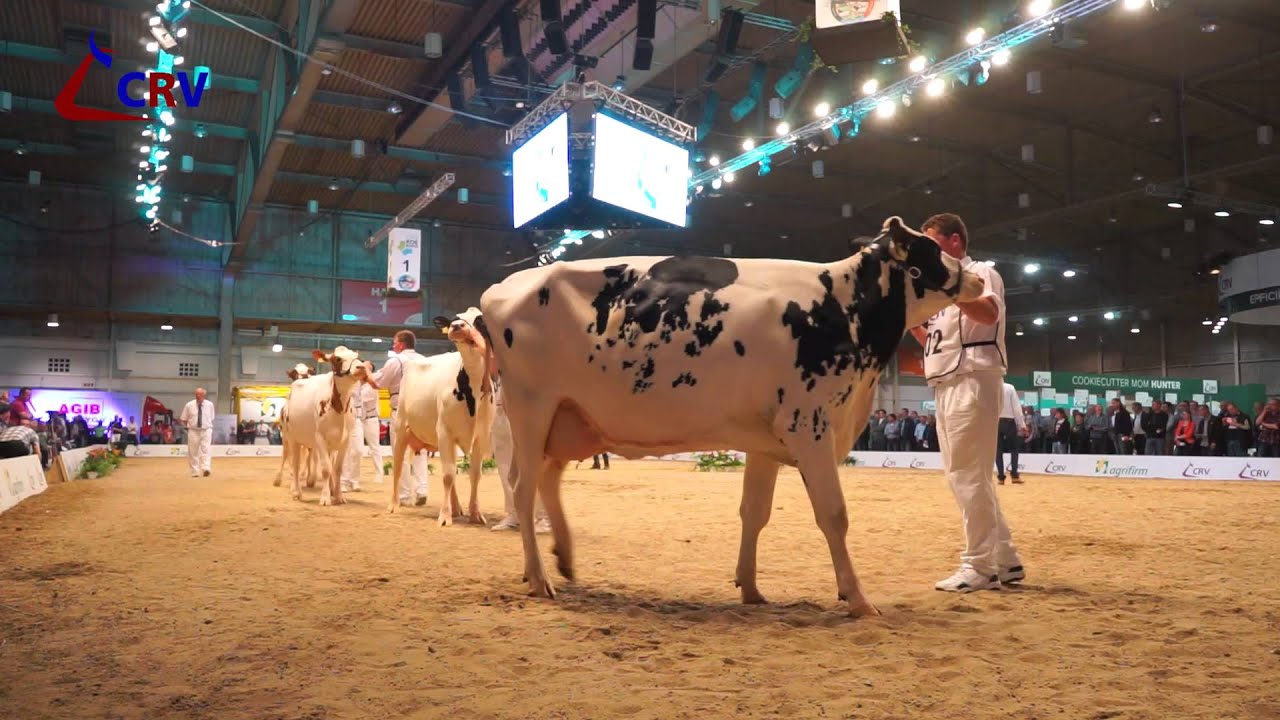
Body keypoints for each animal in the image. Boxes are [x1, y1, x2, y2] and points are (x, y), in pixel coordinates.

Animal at [274, 348, 374, 506]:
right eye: (337, 359)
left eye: (358, 357)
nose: (361, 367)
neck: (339, 409)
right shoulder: (319, 438)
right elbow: (326, 468)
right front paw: (325, 497)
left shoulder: (345, 440)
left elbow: (337, 468)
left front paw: (338, 496)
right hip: (291, 437)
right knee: (293, 462)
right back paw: (295, 491)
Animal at [386, 309, 496, 526]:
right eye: (455, 319)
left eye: (479, 320)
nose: (457, 327)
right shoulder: (445, 430)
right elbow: (447, 474)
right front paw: (445, 516)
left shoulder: (481, 436)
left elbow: (475, 474)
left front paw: (475, 513)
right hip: (400, 426)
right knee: (398, 466)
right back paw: (393, 505)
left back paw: (457, 507)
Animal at [477, 216, 984, 617]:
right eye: (930, 249)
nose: (977, 277)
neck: (841, 305)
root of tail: (502, 286)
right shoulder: (809, 425)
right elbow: (834, 514)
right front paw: (857, 598)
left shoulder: (768, 440)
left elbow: (754, 513)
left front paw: (752, 589)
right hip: (531, 408)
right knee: (523, 488)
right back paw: (540, 579)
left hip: (570, 417)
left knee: (548, 478)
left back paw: (562, 558)